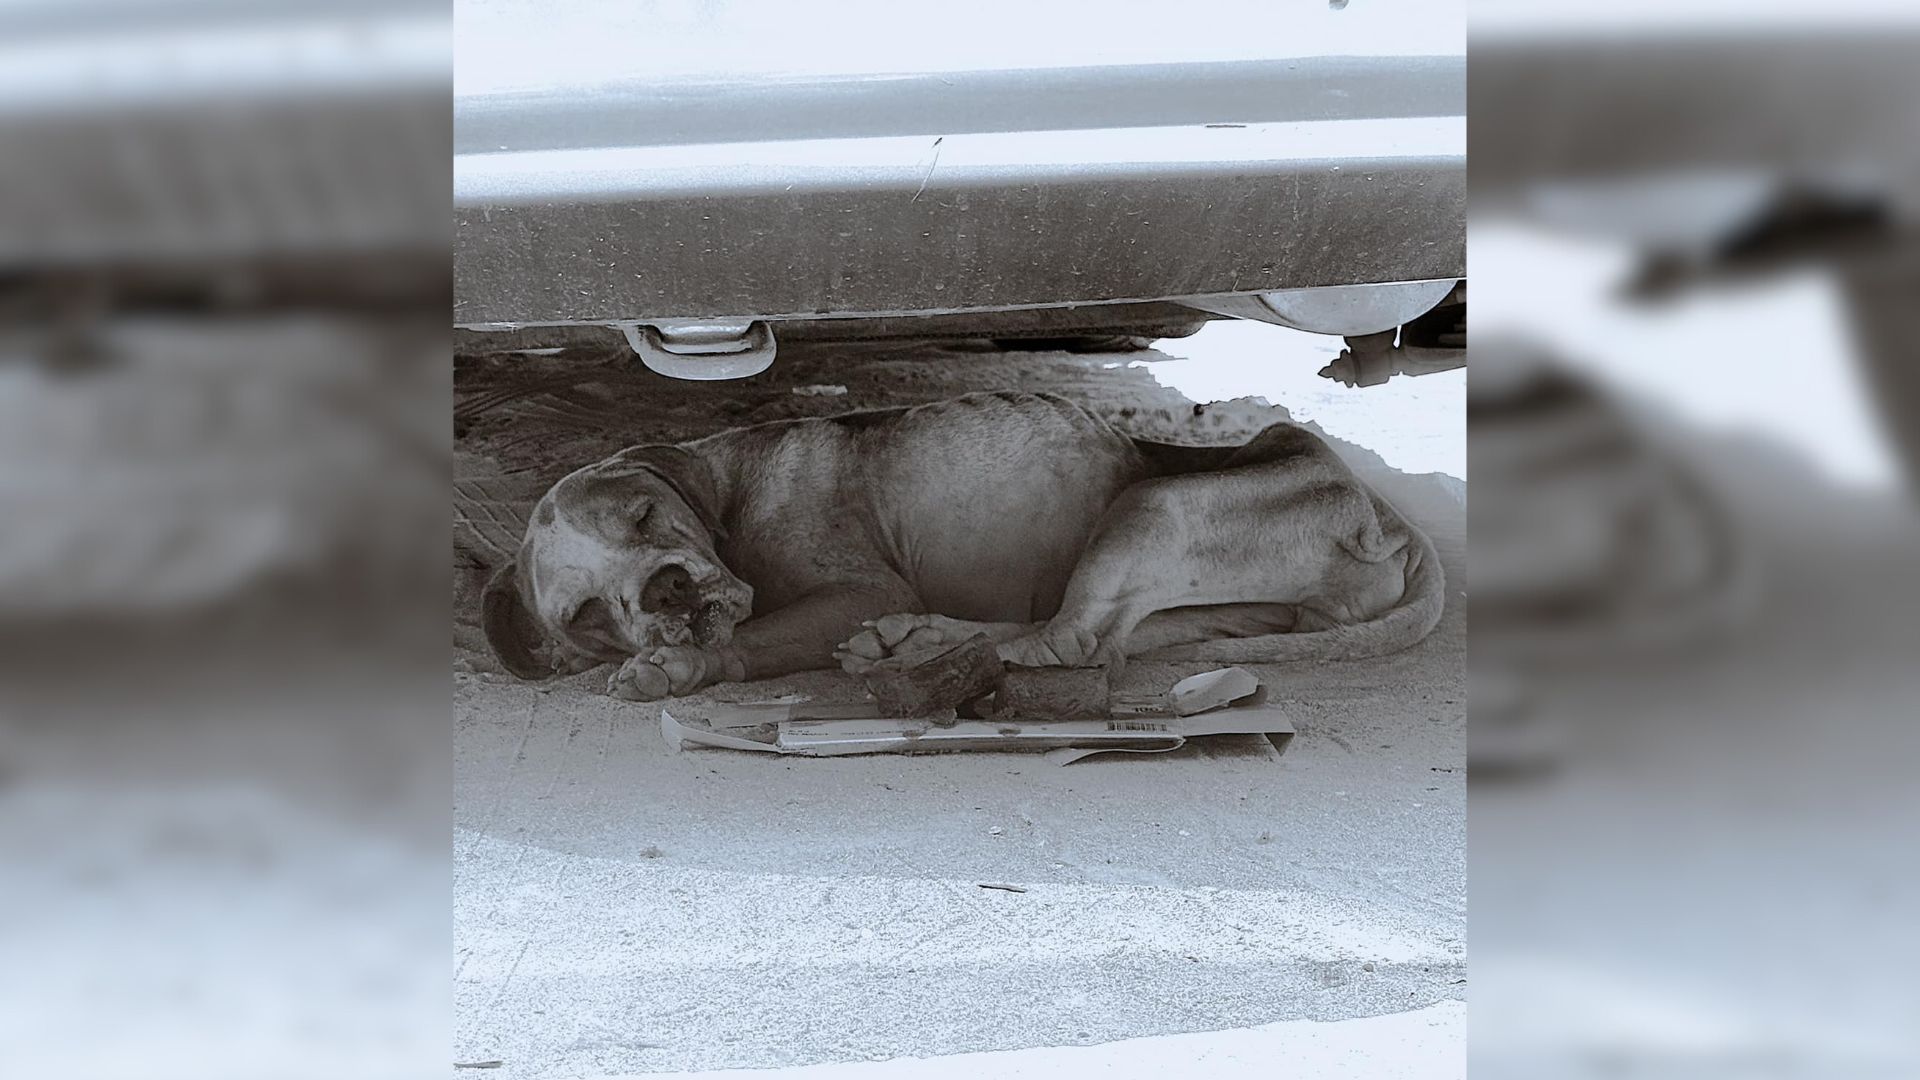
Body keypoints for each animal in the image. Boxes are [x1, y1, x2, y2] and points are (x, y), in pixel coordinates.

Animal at [480, 388, 1443, 699]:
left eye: (644, 518)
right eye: (586, 614)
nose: (667, 592)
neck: (725, 493)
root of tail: (1387, 519)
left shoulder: (862, 589)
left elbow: (751, 638)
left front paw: (680, 666)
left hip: (1154, 505)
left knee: (1069, 641)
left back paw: (917, 646)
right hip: (1213, 603)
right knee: (1087, 640)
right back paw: (926, 643)